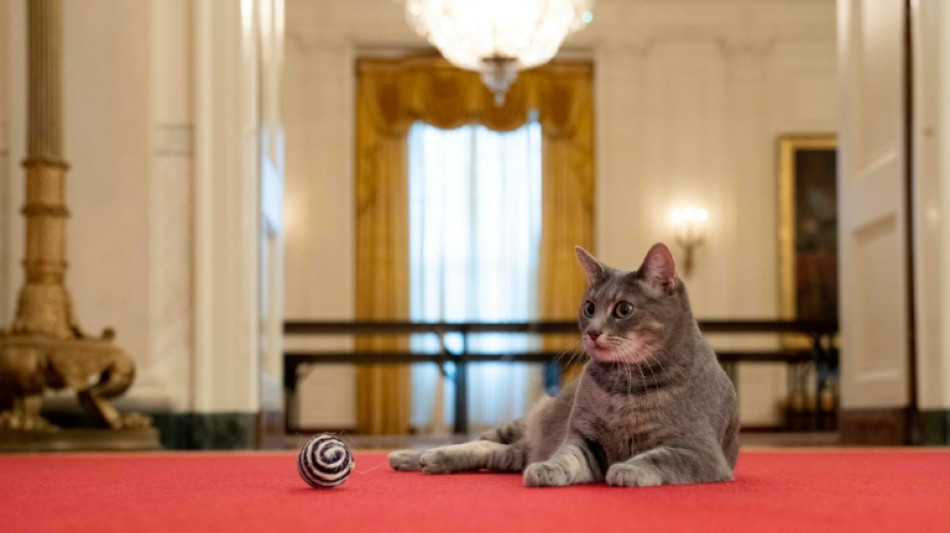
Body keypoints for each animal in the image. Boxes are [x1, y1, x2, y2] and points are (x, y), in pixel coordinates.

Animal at [390, 243, 740, 484]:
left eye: (623, 309)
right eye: (589, 307)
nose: (593, 332)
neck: (624, 385)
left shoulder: (700, 452)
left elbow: (659, 458)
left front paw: (629, 469)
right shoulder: (584, 438)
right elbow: (567, 457)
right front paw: (549, 468)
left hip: (516, 449)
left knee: (493, 452)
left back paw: (432, 459)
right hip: (521, 423)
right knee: (480, 441)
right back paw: (412, 455)